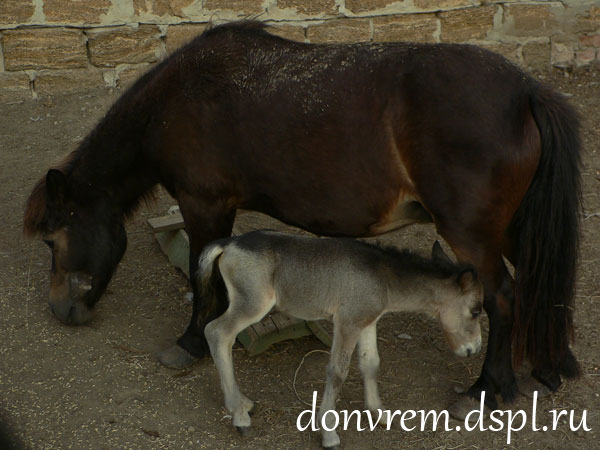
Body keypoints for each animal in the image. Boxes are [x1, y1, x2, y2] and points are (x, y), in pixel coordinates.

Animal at [24, 21, 580, 414]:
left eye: (52, 239)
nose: (61, 311)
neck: (180, 101)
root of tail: (525, 91)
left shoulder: (205, 206)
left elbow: (203, 279)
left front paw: (190, 342)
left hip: (473, 235)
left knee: (502, 297)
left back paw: (487, 387)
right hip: (508, 229)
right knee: (535, 287)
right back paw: (552, 365)